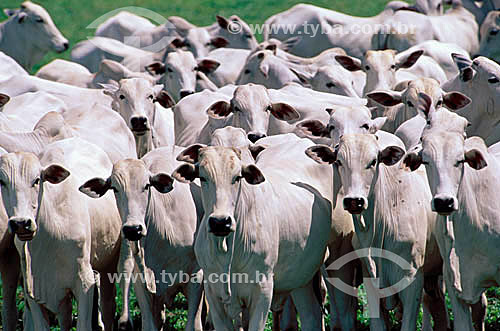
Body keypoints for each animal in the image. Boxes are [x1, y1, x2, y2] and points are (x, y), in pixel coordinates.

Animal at [0, 139, 123, 330]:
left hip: (108, 264)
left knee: (108, 307)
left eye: (37, 180)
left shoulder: (84, 281)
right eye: (2, 182)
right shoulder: (32, 287)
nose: (20, 223)